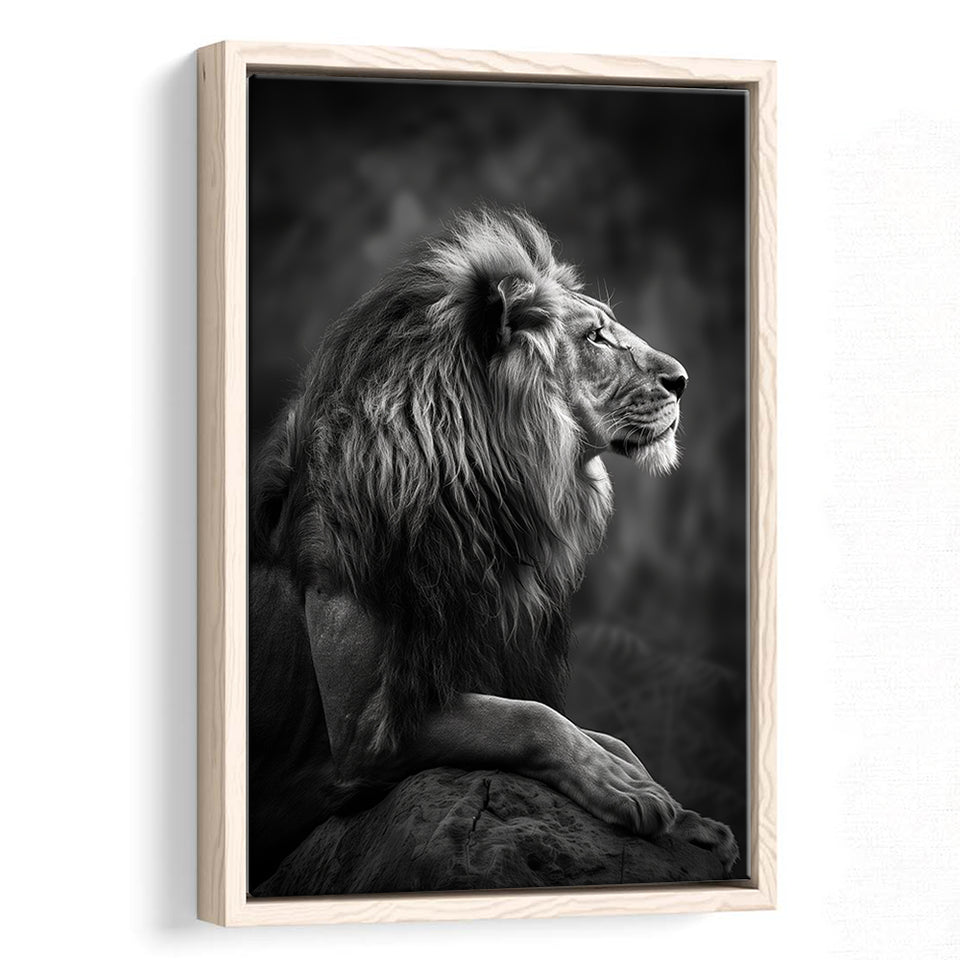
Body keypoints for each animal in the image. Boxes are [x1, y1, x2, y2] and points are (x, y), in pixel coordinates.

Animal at [248, 206, 739, 889]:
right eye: (595, 337)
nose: (683, 381)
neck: (480, 501)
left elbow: (602, 734)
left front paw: (684, 814)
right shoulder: (362, 733)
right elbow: (530, 717)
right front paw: (626, 789)